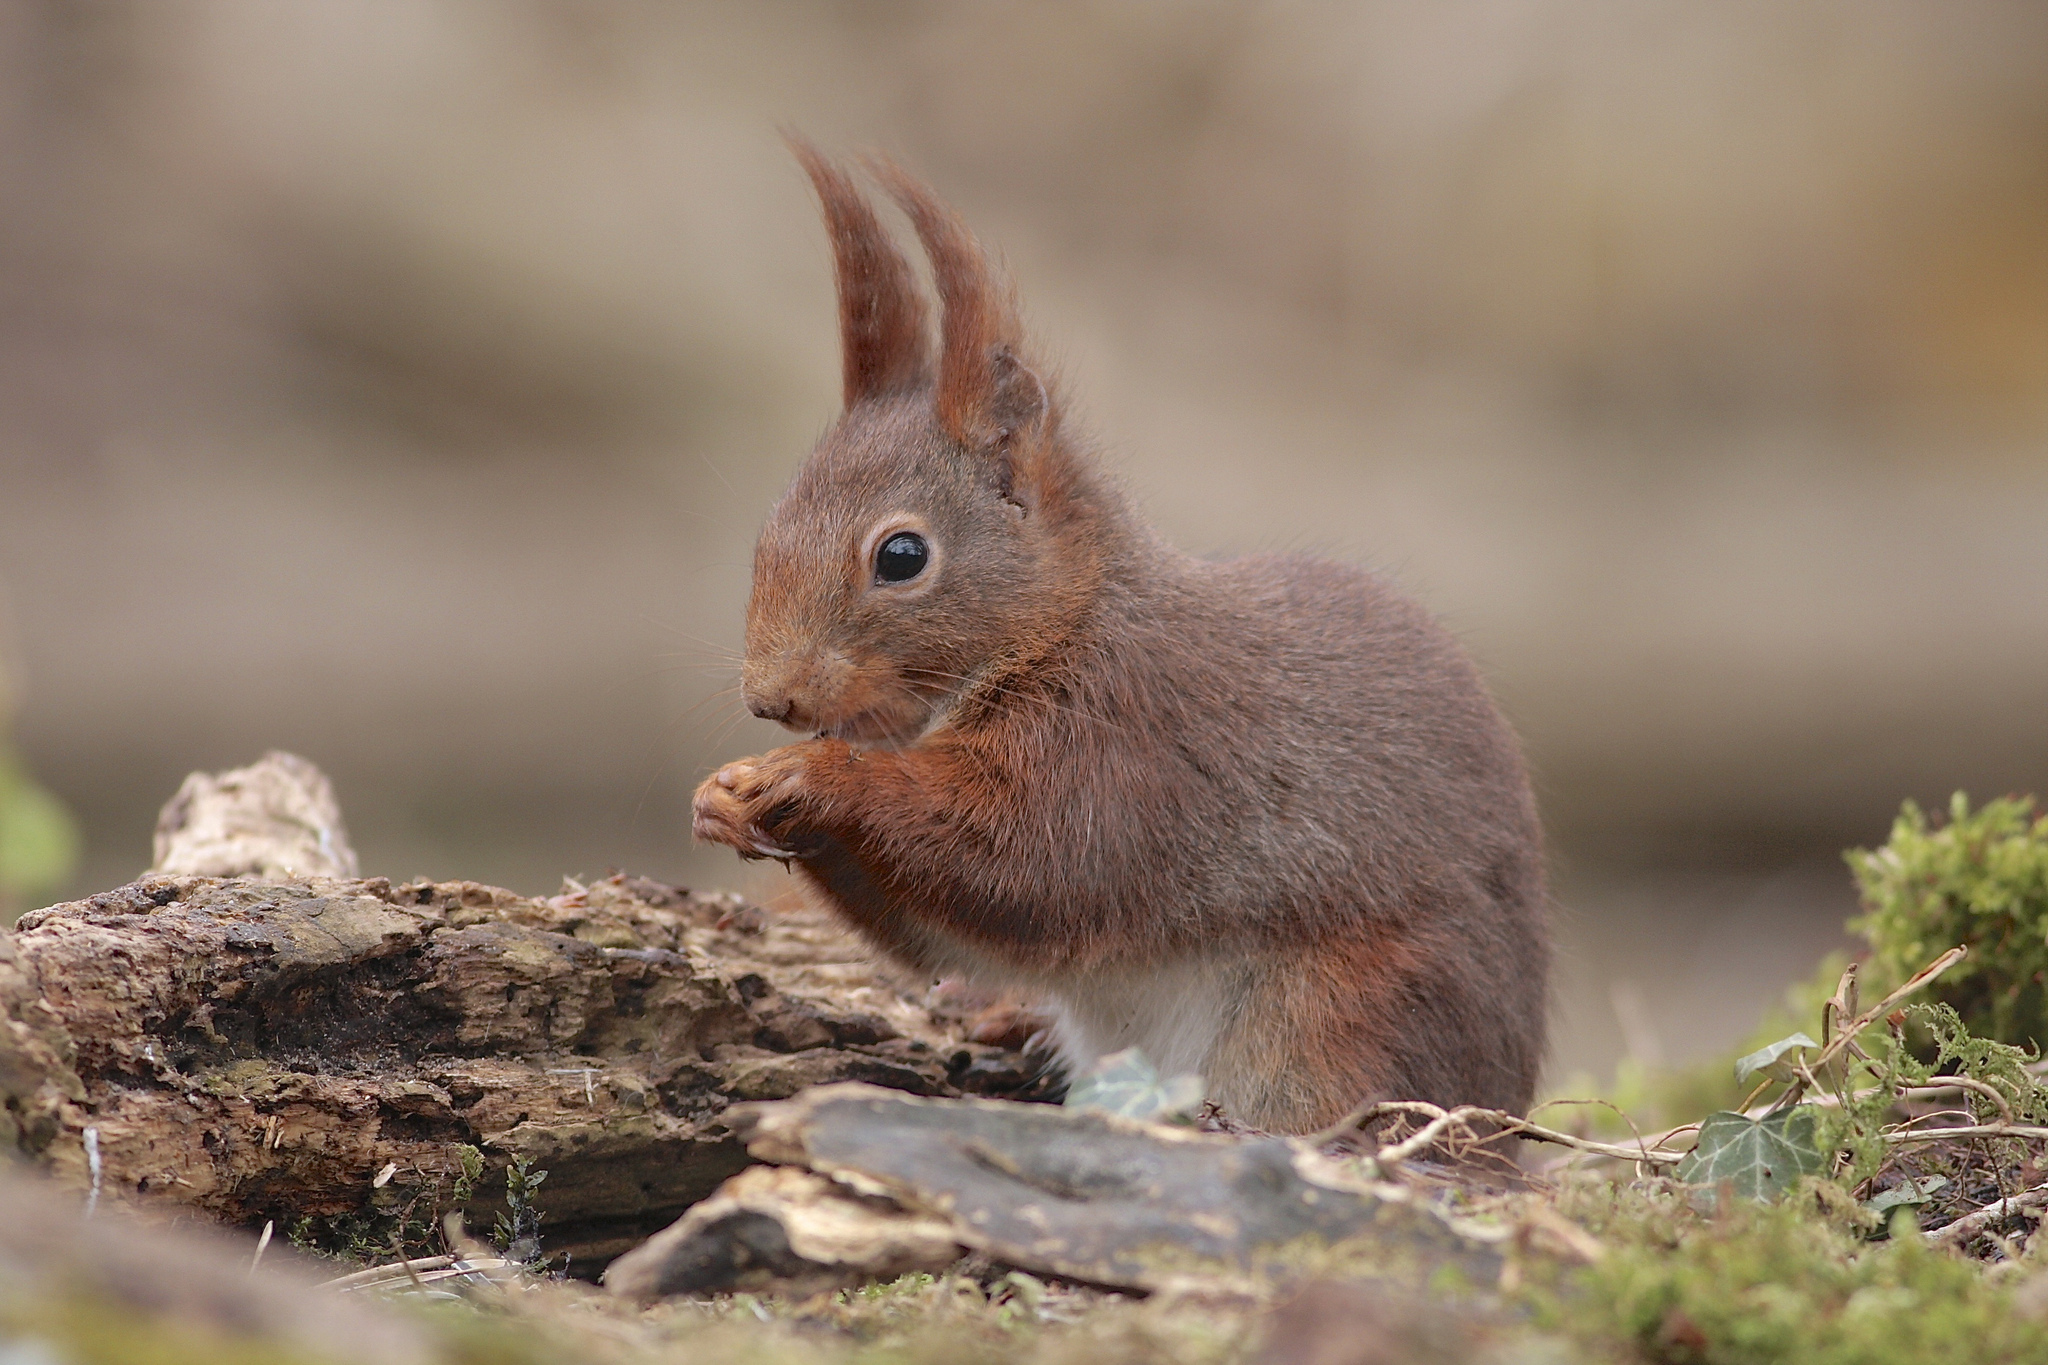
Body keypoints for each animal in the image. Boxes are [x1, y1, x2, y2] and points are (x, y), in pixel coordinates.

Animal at [696, 144, 1540, 1137]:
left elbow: (1022, 862)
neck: (1067, 621)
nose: (771, 698)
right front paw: (720, 798)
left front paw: (813, 776)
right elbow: (943, 930)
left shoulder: (1133, 740)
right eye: (770, 528)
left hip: (1338, 1018)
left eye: (901, 555)